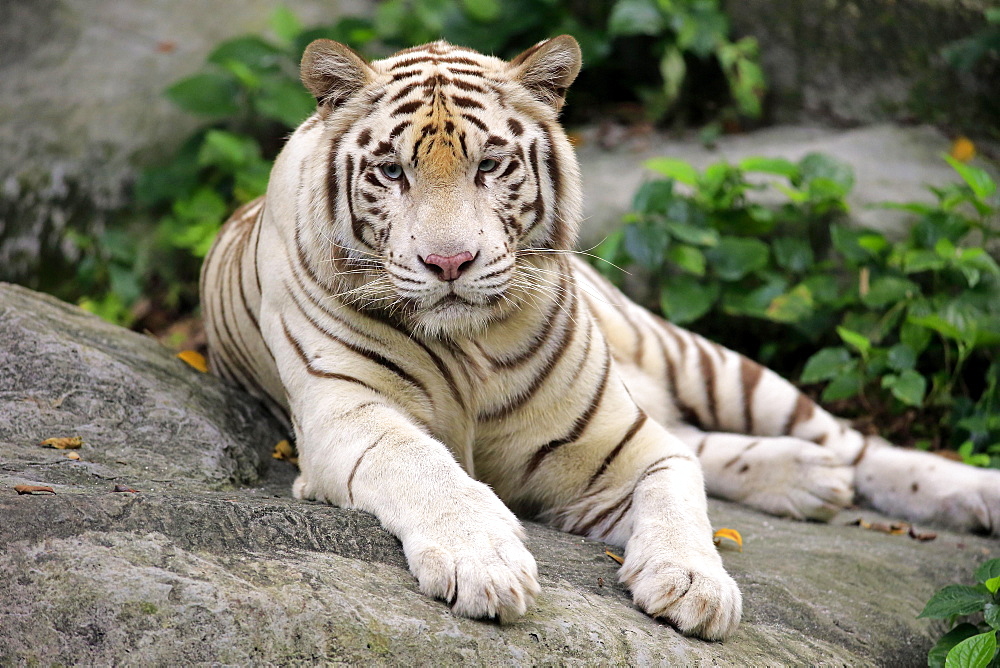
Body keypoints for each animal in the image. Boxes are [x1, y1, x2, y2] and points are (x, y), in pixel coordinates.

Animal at [201, 36, 1000, 640]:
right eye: (392, 171)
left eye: (490, 165)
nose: (450, 263)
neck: (469, 347)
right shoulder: (348, 420)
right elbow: (426, 468)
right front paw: (485, 561)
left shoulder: (627, 445)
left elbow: (679, 493)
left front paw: (693, 584)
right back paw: (809, 479)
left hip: (702, 360)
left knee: (852, 445)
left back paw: (962, 493)